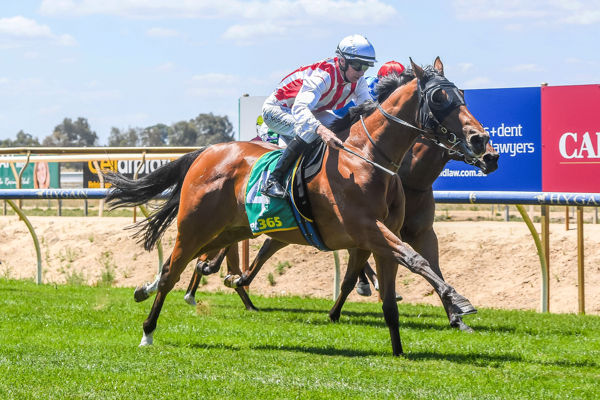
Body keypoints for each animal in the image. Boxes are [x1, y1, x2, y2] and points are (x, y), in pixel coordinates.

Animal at [106, 57, 488, 354]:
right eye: (439, 97)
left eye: (462, 94)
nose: (481, 141)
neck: (367, 157)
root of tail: (208, 151)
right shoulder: (367, 229)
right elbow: (415, 259)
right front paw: (459, 301)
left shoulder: (381, 236)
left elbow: (392, 297)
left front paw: (399, 350)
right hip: (195, 224)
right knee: (174, 268)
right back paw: (148, 331)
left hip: (231, 228)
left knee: (186, 262)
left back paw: (146, 290)